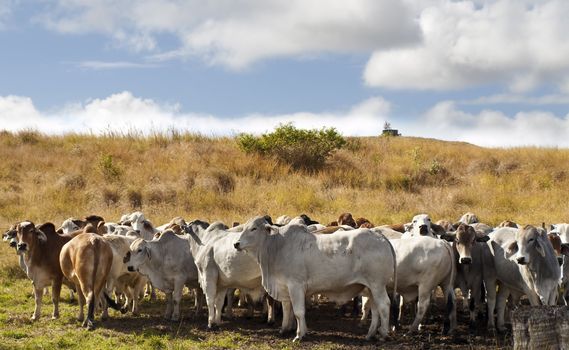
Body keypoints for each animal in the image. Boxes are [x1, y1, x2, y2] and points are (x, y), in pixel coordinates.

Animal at [232, 216, 394, 342]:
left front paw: (299, 335)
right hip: (370, 288)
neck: (277, 247)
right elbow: (287, 309)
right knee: (375, 309)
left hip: (377, 285)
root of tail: (380, 237)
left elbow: (298, 312)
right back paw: (370, 334)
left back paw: (383, 335)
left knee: (384, 305)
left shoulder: (296, 286)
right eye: (244, 228)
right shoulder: (284, 287)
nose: (236, 244)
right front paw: (284, 329)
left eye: (254, 228)